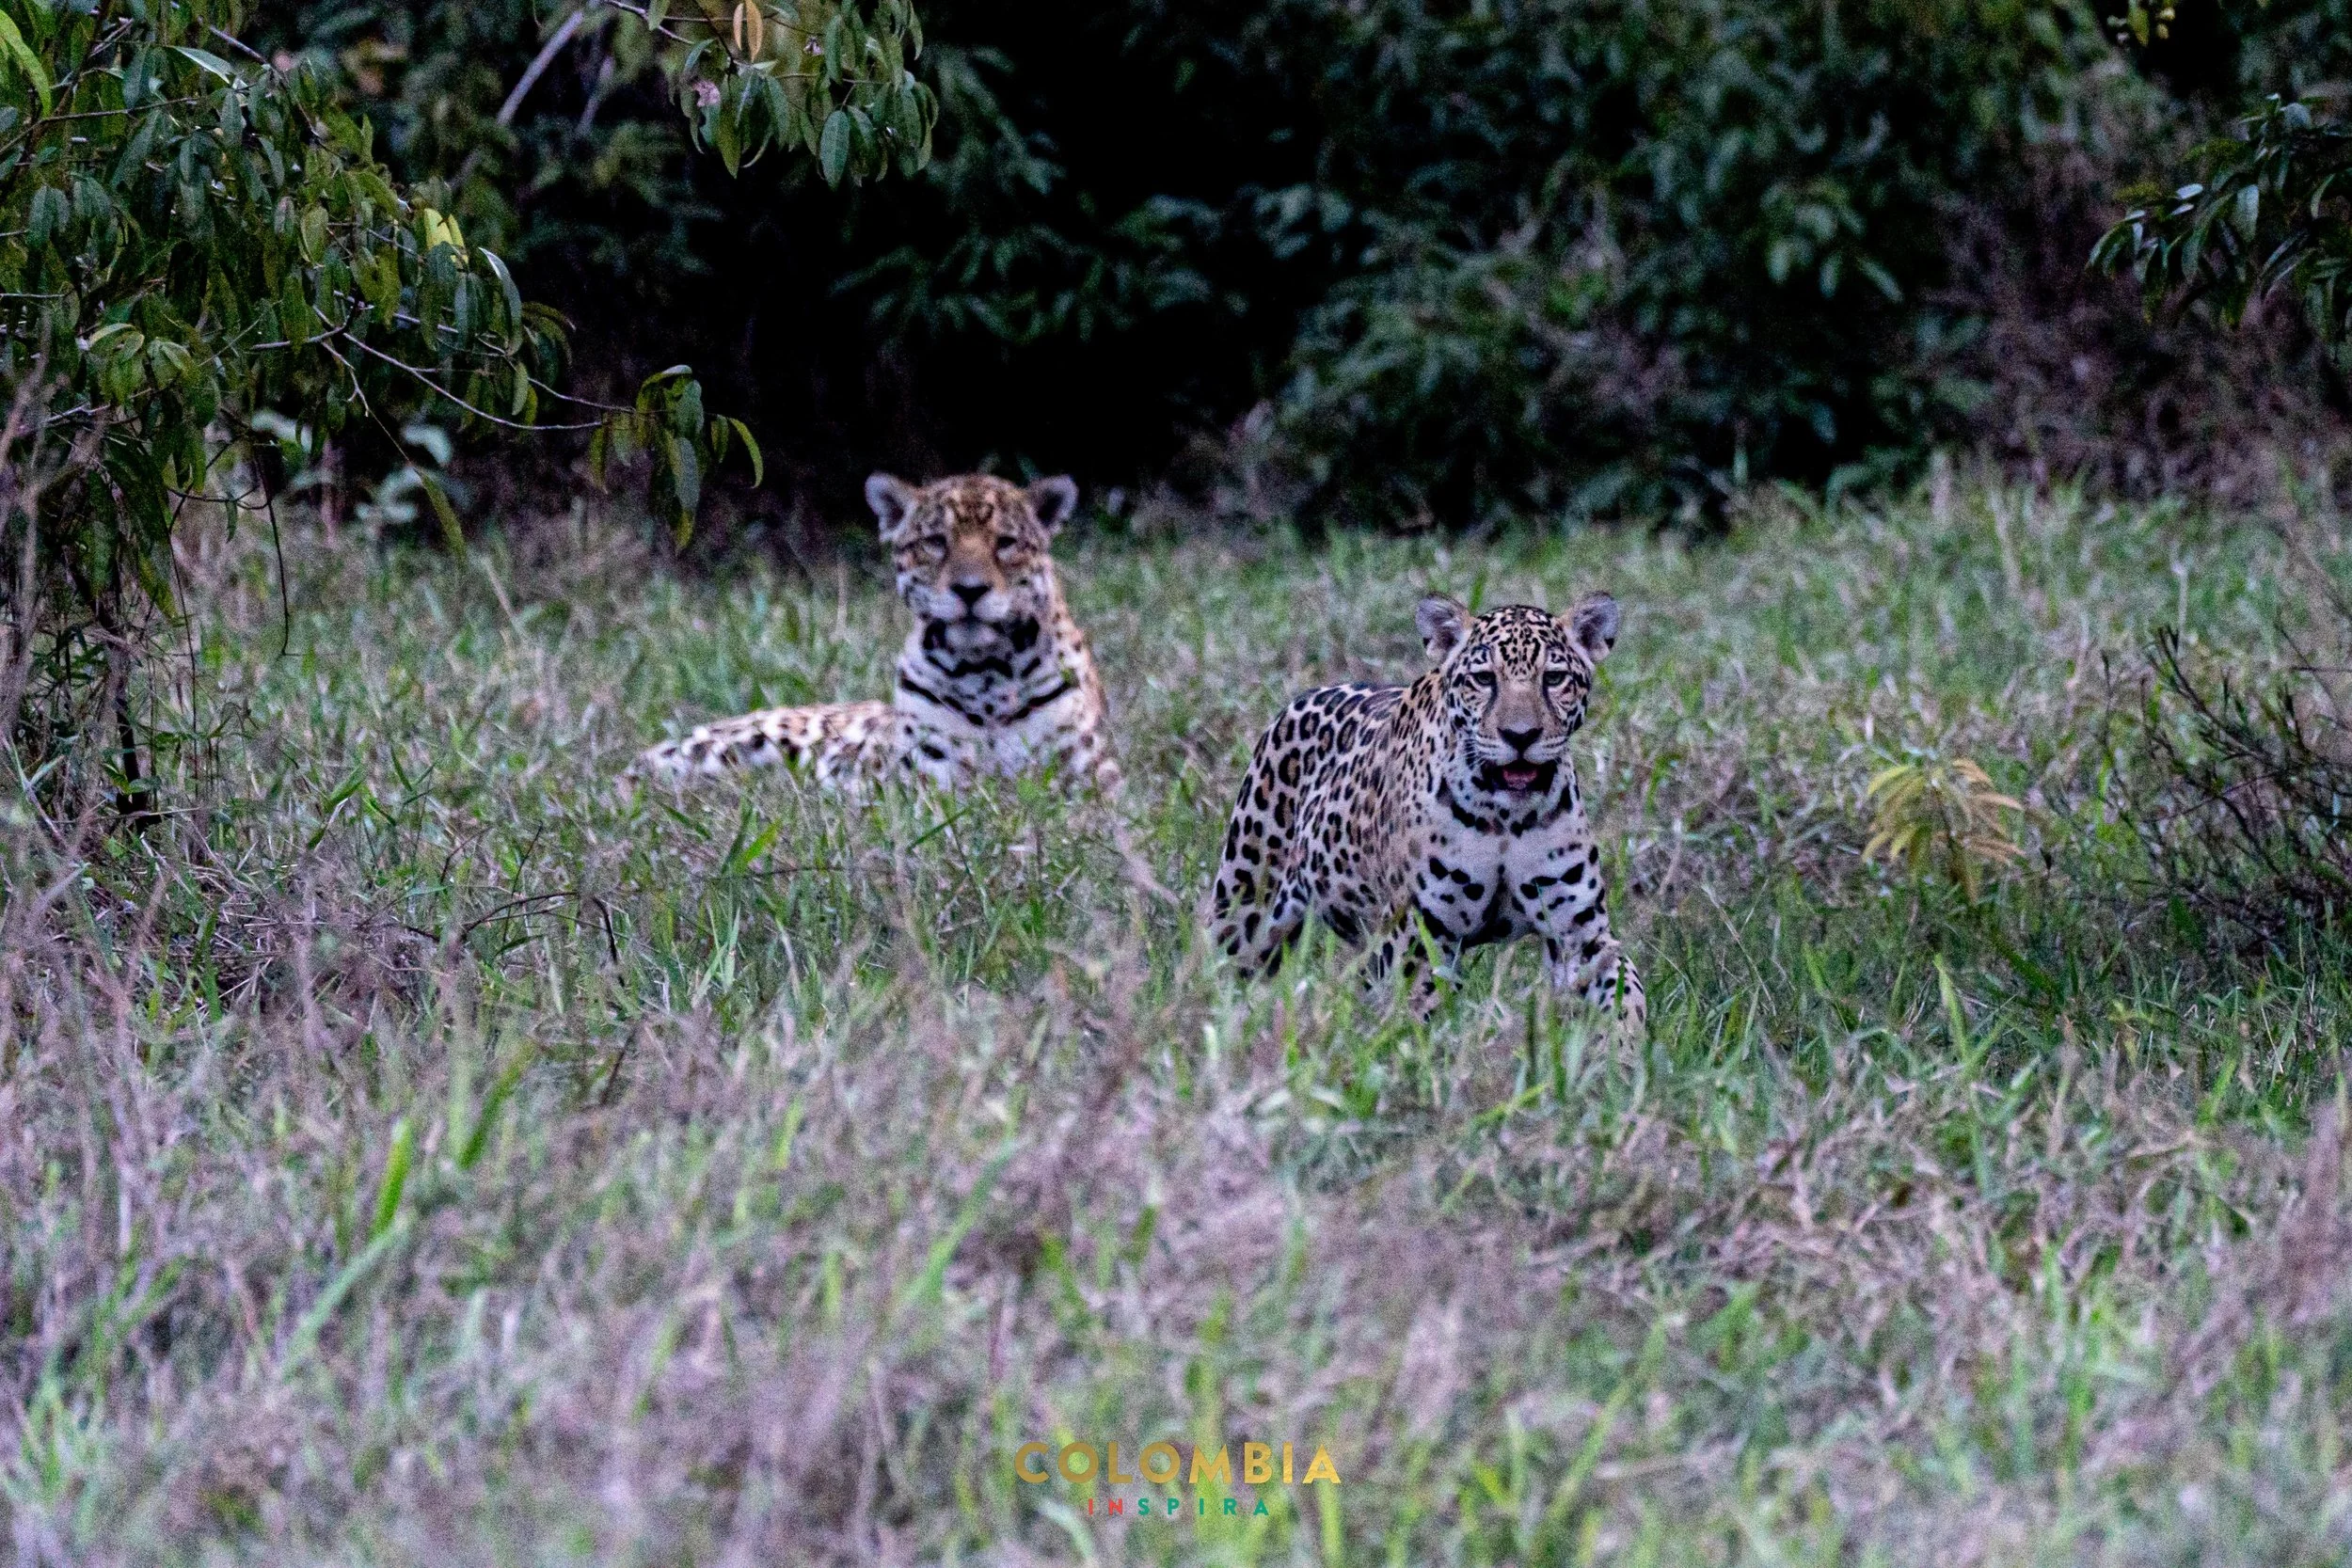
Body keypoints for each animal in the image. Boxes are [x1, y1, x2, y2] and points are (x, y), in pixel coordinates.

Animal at [628, 472, 1121, 793]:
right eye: (936, 542)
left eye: (1005, 543)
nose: (969, 590)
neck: (987, 672)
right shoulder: (920, 782)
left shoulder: (1091, 784)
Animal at [1206, 591, 1643, 1032]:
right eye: (1484, 679)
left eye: (1553, 679)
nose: (1520, 736)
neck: (1506, 819)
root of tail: (1304, 696)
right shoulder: (1418, 939)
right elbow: (1418, 1018)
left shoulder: (1581, 936)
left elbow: (1628, 997)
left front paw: (1623, 1048)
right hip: (1247, 904)